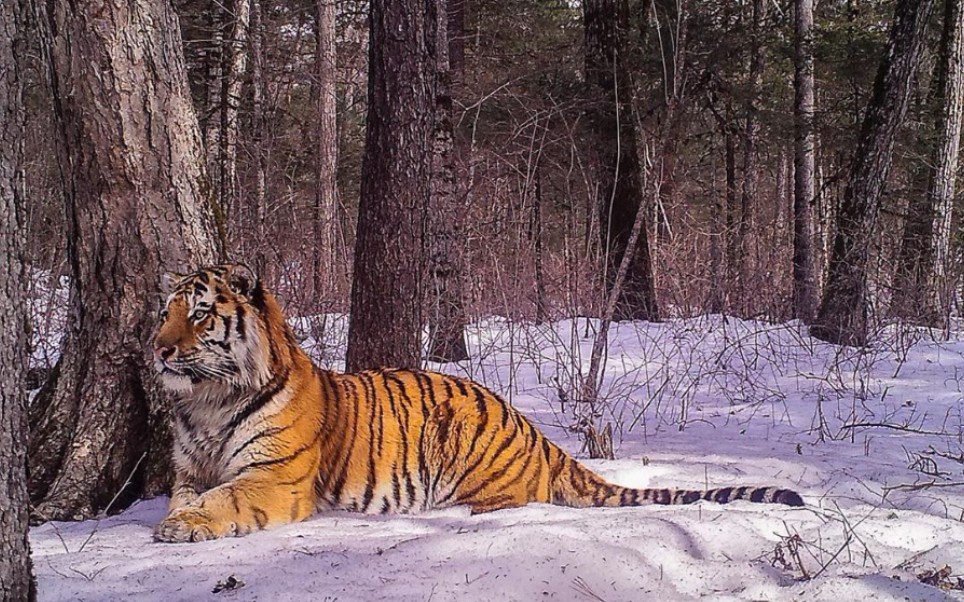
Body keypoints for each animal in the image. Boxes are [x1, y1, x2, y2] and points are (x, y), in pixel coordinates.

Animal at [149, 262, 800, 540]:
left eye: (200, 313)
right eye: (165, 312)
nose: (157, 349)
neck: (207, 401)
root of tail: (538, 433)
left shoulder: (273, 477)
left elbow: (226, 498)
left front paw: (182, 528)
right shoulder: (188, 469)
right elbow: (191, 494)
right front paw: (179, 517)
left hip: (474, 468)